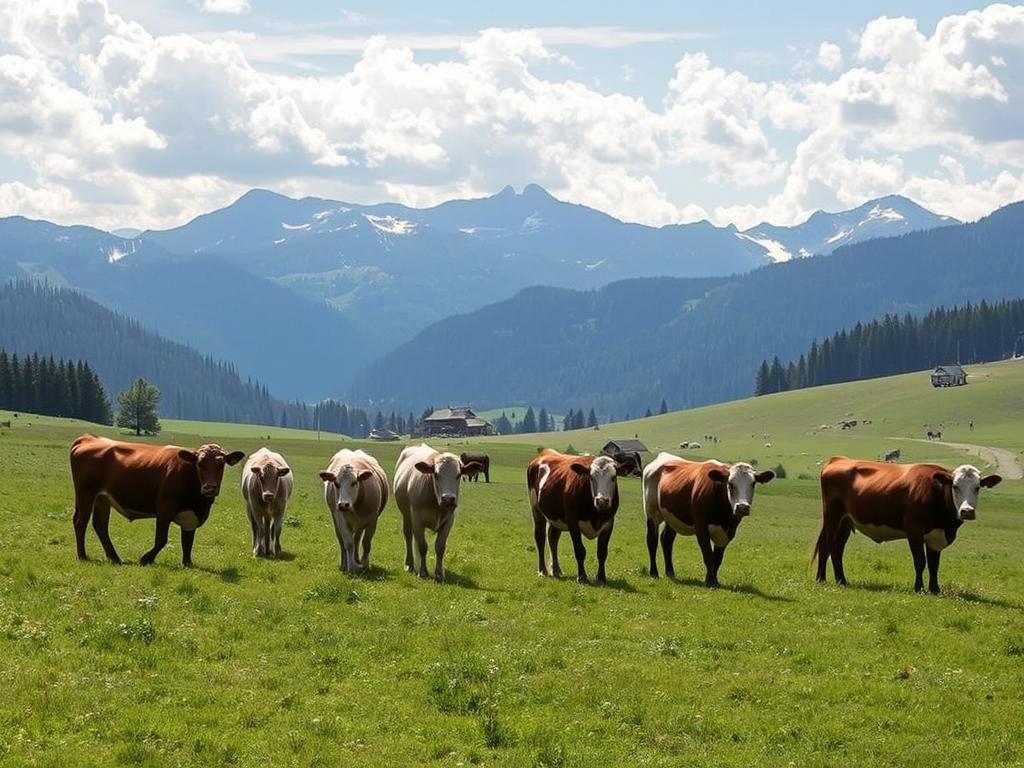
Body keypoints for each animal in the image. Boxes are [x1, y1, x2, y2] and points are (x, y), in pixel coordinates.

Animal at [69, 434, 244, 566]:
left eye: (221, 464)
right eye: (199, 463)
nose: (210, 488)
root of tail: (88, 438)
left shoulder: (191, 516)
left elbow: (188, 541)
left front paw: (187, 563)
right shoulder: (165, 508)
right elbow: (161, 539)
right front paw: (146, 558)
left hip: (102, 498)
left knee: (100, 525)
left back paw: (114, 557)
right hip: (86, 493)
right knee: (81, 522)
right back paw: (82, 555)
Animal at [393, 444, 482, 581]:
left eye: (458, 475)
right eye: (436, 474)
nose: (448, 498)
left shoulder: (449, 521)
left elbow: (440, 547)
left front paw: (439, 573)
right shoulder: (417, 519)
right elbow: (422, 546)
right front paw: (423, 572)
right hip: (406, 515)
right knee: (408, 536)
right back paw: (409, 564)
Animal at [526, 449, 630, 584]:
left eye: (613, 477)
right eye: (591, 477)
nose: (602, 501)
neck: (595, 514)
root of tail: (545, 453)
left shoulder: (608, 524)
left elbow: (602, 552)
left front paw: (601, 577)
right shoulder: (573, 523)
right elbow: (580, 550)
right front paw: (582, 576)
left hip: (556, 518)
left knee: (553, 539)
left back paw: (556, 570)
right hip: (536, 509)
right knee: (540, 538)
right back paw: (542, 570)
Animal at [642, 452, 774, 587]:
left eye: (753, 484)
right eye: (730, 484)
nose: (742, 507)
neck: (724, 516)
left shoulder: (728, 532)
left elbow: (717, 559)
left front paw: (712, 579)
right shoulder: (701, 527)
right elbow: (708, 555)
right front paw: (711, 582)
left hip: (672, 517)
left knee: (666, 540)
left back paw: (670, 573)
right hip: (652, 512)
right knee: (652, 541)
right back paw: (654, 572)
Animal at [814, 457, 1002, 593]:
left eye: (978, 487)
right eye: (955, 486)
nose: (967, 511)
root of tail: (839, 459)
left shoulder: (936, 535)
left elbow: (934, 565)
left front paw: (935, 589)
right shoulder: (914, 530)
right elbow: (920, 561)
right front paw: (919, 588)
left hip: (845, 523)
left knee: (835, 550)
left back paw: (840, 581)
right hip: (832, 517)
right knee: (827, 547)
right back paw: (823, 579)